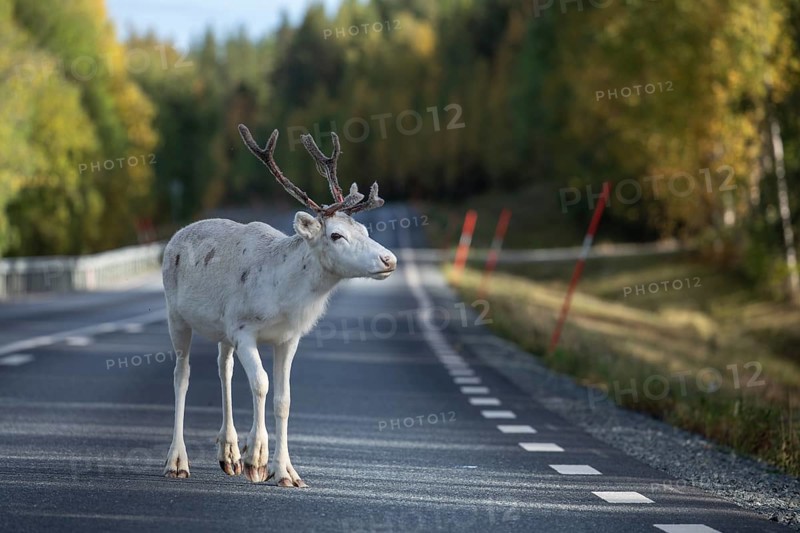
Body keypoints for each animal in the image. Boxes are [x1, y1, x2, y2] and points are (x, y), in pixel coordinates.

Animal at [160, 124, 397, 487]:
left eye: (365, 229)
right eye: (336, 235)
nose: (389, 259)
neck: (284, 296)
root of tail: (175, 237)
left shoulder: (287, 337)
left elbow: (284, 398)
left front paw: (286, 472)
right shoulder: (244, 329)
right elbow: (261, 384)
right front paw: (256, 460)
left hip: (222, 332)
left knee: (223, 368)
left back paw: (228, 452)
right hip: (176, 315)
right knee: (181, 375)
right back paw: (177, 461)